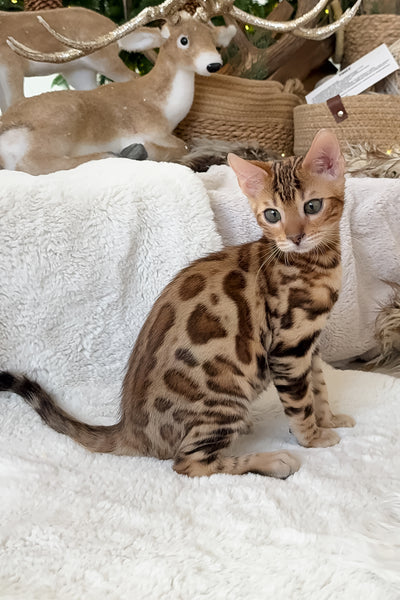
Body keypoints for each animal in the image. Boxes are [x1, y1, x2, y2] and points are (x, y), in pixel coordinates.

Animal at [0, 128, 355, 478]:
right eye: (272, 215)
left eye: (312, 206)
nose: (295, 237)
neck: (316, 262)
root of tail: (128, 429)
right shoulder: (288, 347)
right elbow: (300, 402)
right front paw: (312, 437)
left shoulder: (309, 345)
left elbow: (318, 388)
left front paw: (329, 420)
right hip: (225, 398)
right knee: (190, 464)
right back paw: (273, 461)